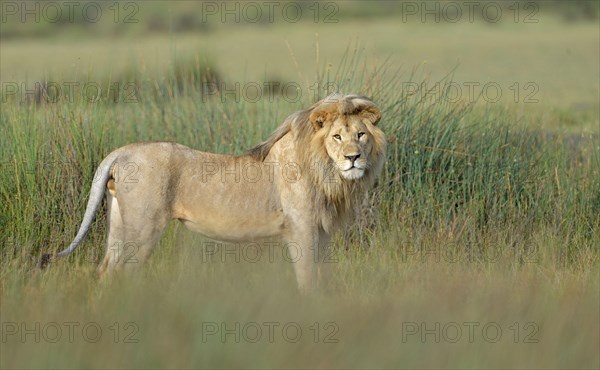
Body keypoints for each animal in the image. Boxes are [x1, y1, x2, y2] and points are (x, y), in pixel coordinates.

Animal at [44, 93, 386, 292]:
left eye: (361, 134)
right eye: (337, 137)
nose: (353, 157)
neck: (327, 171)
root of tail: (120, 151)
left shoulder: (323, 232)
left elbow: (324, 278)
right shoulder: (301, 229)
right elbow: (307, 281)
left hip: (120, 224)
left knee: (105, 271)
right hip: (142, 229)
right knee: (121, 273)